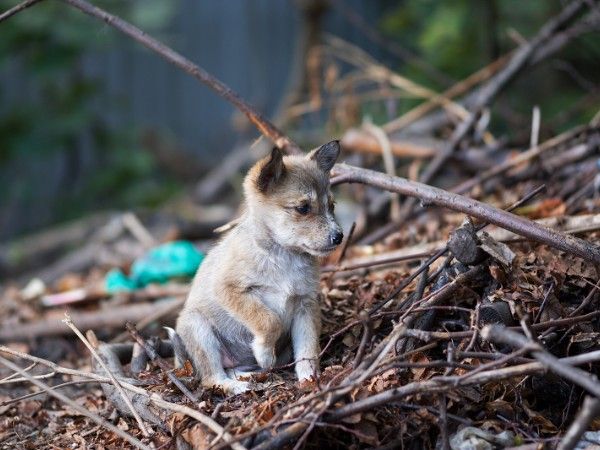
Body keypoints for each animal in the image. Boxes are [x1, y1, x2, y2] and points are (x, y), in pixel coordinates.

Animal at [175, 142, 342, 394]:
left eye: (331, 205)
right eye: (303, 208)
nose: (338, 236)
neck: (284, 255)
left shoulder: (305, 306)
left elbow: (308, 349)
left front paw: (310, 378)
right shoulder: (230, 290)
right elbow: (269, 320)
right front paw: (264, 353)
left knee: (232, 370)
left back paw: (250, 375)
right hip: (198, 328)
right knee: (212, 377)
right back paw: (237, 386)